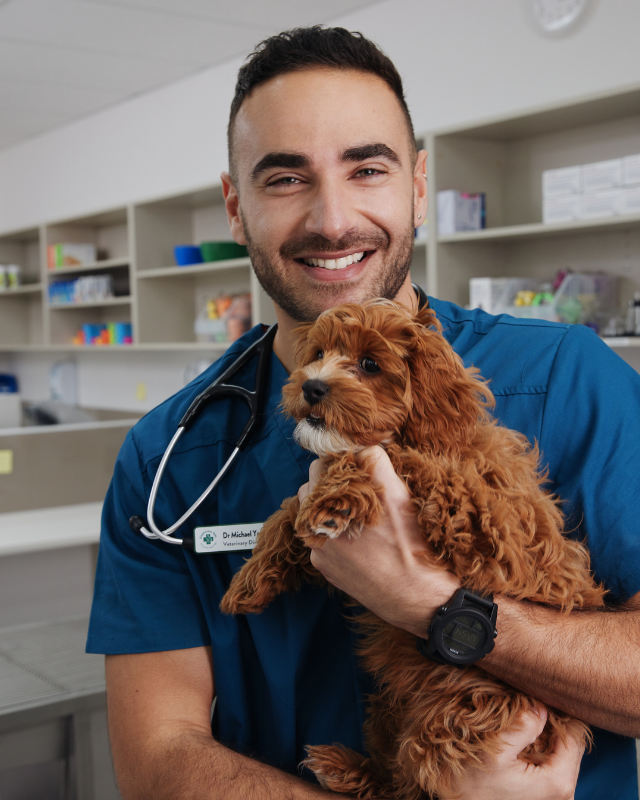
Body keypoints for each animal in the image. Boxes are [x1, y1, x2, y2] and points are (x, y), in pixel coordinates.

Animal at [220, 298, 604, 800]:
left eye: (369, 364)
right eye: (319, 353)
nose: (311, 385)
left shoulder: (491, 534)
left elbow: (390, 458)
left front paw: (337, 494)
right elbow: (287, 514)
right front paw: (248, 581)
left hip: (464, 707)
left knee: (417, 771)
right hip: (390, 706)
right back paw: (346, 770)